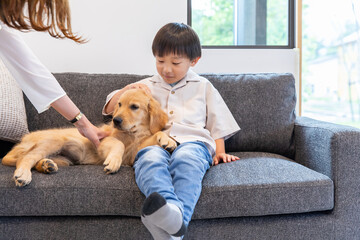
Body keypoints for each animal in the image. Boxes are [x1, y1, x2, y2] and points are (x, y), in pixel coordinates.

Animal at [2, 89, 177, 187]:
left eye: (134, 107)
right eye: (119, 104)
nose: (116, 121)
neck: (133, 134)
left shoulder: (133, 154)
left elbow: (156, 134)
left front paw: (168, 140)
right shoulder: (103, 141)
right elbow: (118, 144)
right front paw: (113, 161)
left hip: (64, 159)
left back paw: (46, 165)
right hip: (54, 141)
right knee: (26, 157)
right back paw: (24, 175)